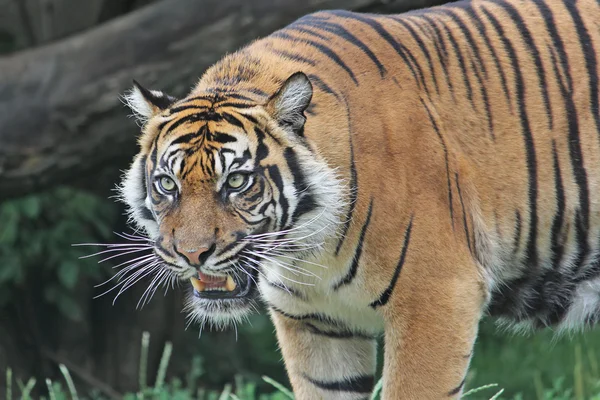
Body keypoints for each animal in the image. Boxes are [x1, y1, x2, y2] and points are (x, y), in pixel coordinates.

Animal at [115, 0, 600, 396]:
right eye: (167, 185)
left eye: (235, 182)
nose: (192, 254)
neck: (307, 252)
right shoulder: (315, 324)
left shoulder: (438, 296)